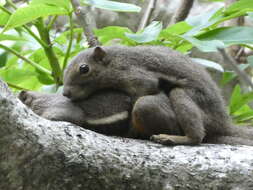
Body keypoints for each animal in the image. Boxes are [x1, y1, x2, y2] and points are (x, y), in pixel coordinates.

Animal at [60, 45, 253, 146]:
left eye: (84, 69)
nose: (65, 93)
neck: (113, 61)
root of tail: (223, 123)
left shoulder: (136, 76)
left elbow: (145, 91)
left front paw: (129, 131)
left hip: (188, 103)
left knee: (197, 137)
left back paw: (177, 138)